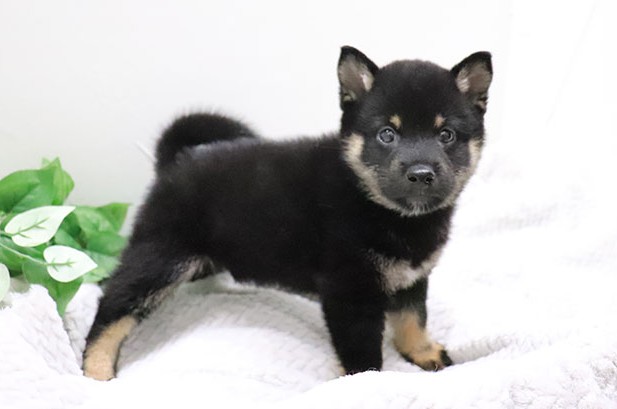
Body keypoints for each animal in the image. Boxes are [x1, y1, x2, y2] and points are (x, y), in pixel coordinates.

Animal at [83, 46, 492, 380]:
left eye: (446, 135)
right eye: (387, 134)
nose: (421, 173)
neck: (384, 210)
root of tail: (177, 160)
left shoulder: (412, 277)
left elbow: (413, 319)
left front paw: (421, 352)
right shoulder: (350, 294)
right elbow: (363, 357)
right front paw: (366, 387)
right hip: (161, 258)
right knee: (112, 305)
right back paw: (96, 367)